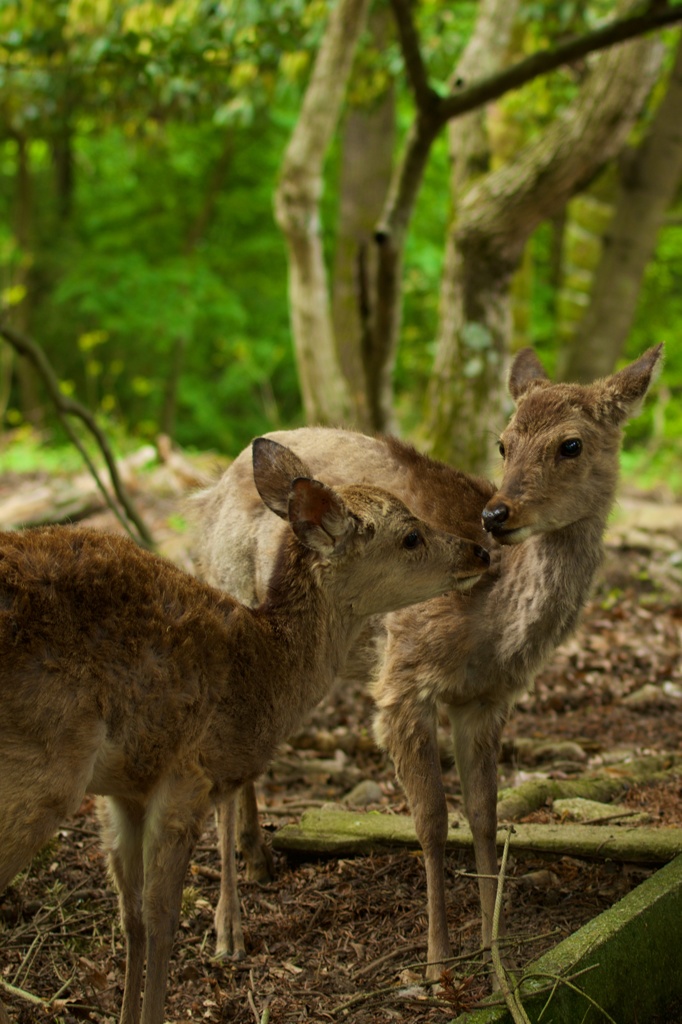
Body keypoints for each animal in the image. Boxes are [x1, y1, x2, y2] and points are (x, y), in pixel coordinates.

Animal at [0, 438, 489, 1024]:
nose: (479, 551)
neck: (263, 675)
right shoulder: (186, 774)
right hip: (42, 767)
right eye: (410, 535)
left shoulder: (123, 791)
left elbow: (132, 919)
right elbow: (161, 920)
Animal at [192, 344, 663, 974]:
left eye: (572, 444)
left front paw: (493, 953)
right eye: (503, 443)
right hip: (231, 592)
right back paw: (228, 931)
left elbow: (486, 817)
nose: (496, 516)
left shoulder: (486, 699)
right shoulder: (402, 681)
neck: (488, 632)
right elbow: (433, 821)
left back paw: (259, 861)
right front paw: (439, 964)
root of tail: (208, 491)